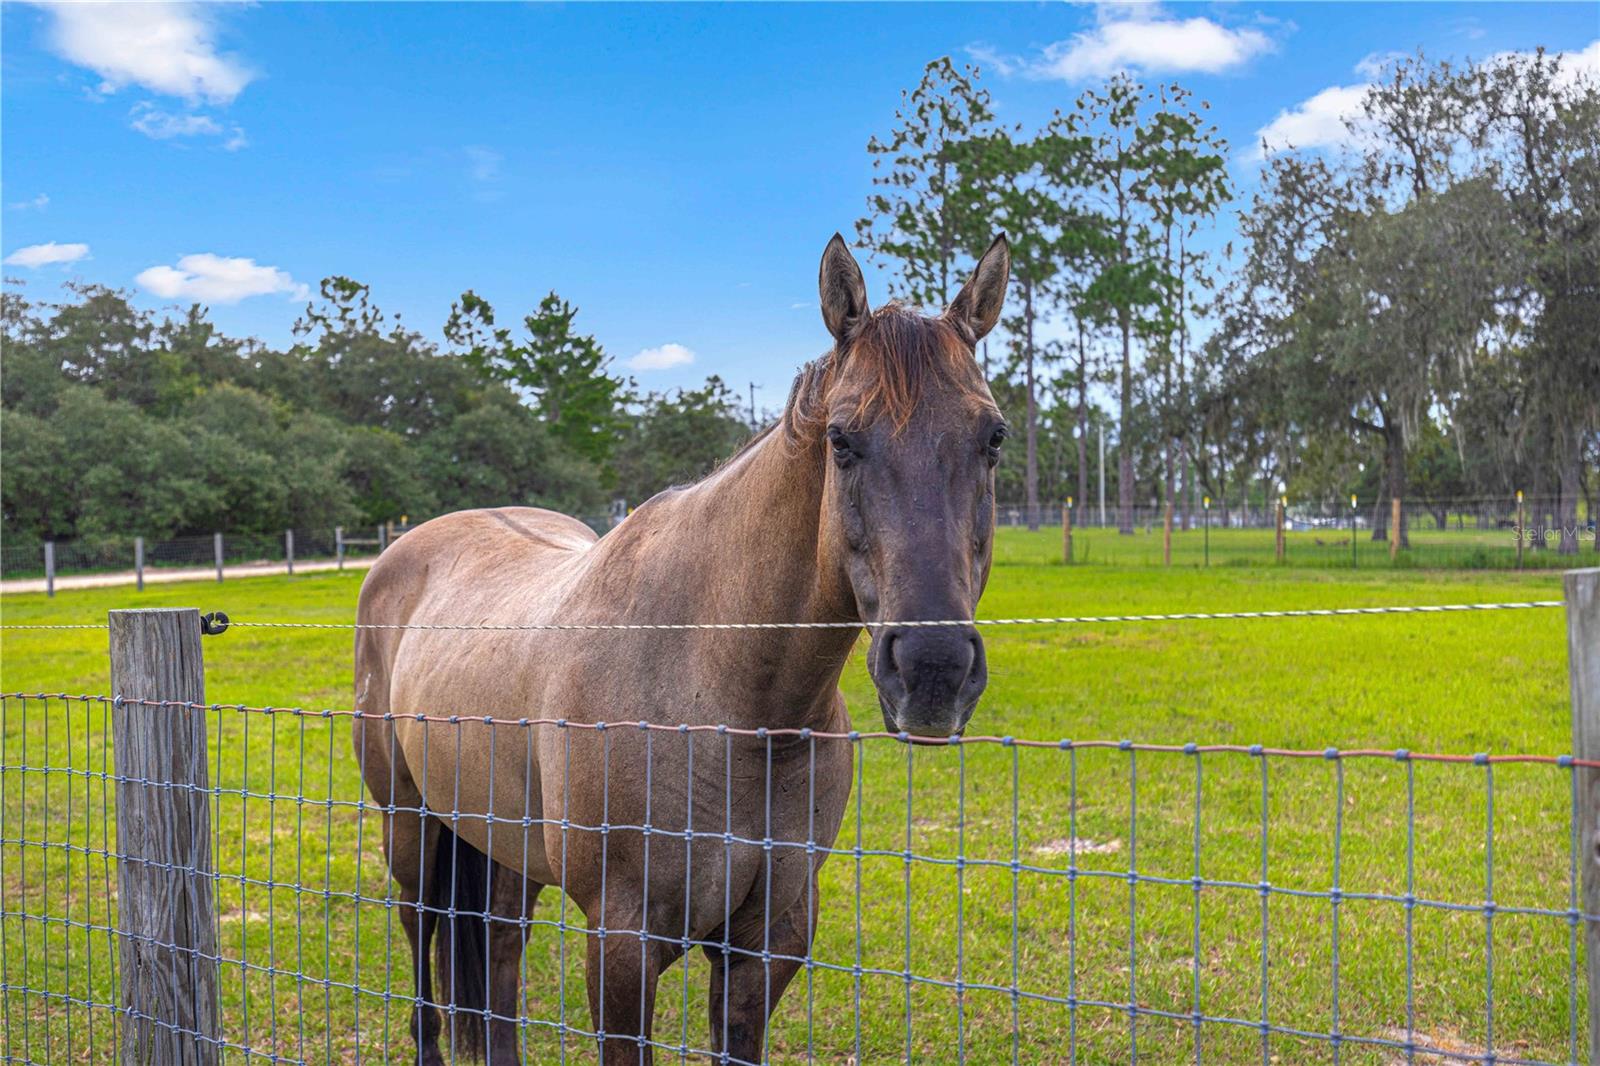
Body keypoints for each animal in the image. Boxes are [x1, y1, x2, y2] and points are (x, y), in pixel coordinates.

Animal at [355, 230, 1011, 1056]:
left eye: (993, 437)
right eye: (842, 439)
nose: (932, 671)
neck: (733, 706)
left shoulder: (767, 942)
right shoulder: (623, 945)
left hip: (503, 841)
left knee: (500, 944)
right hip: (409, 824)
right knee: (420, 932)